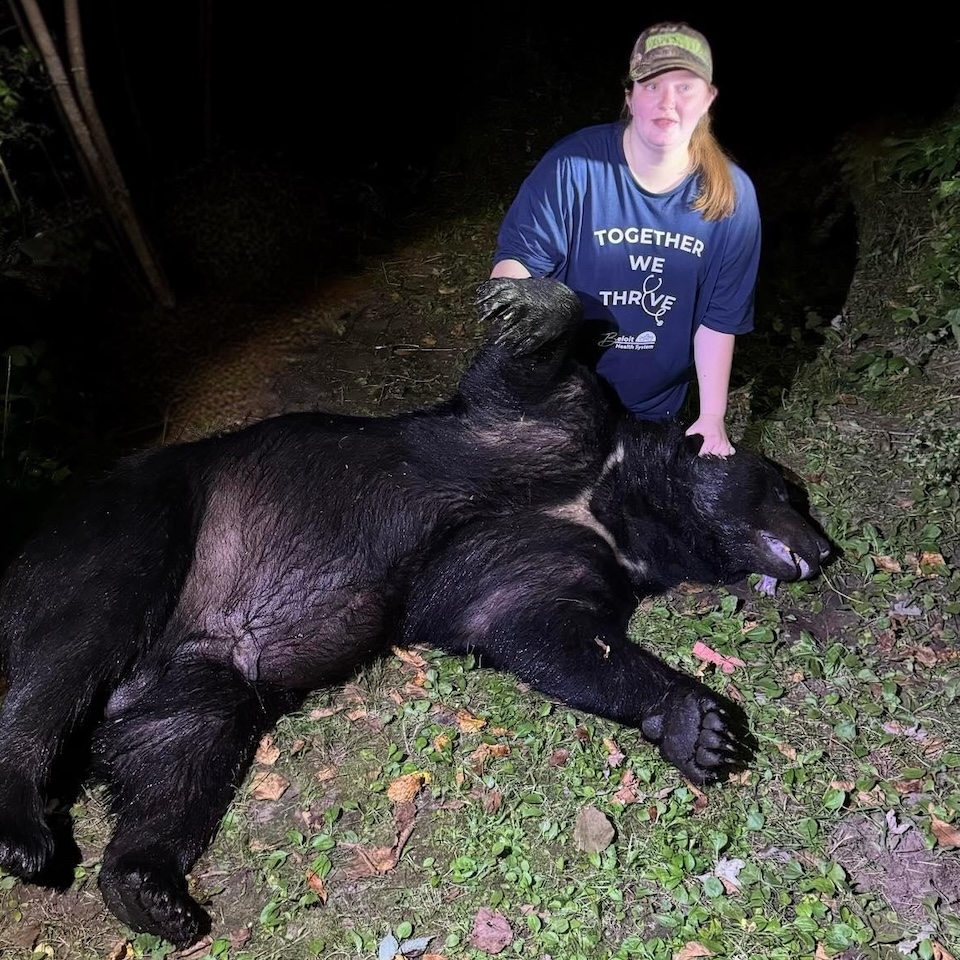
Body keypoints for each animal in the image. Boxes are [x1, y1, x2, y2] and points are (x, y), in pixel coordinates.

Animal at [0, 277, 831, 947]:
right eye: (786, 490)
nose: (824, 549)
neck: (612, 500)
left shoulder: (546, 553)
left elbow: (541, 627)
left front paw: (699, 726)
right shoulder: (545, 431)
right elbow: (522, 379)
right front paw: (534, 307)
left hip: (200, 677)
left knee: (179, 759)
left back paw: (149, 888)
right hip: (138, 526)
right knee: (76, 639)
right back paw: (23, 827)